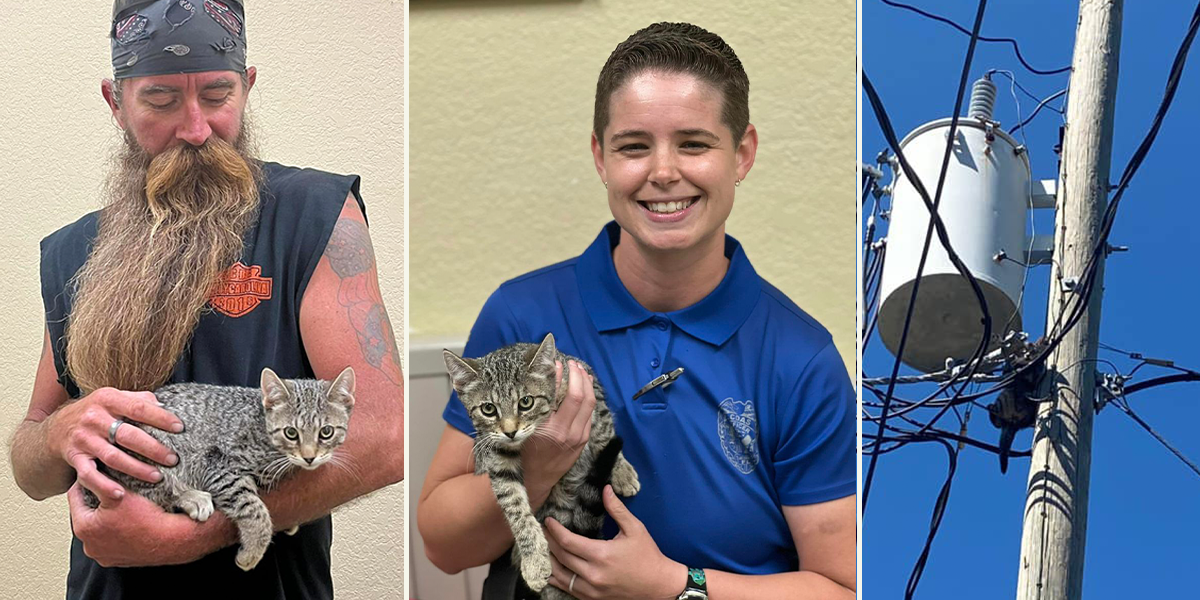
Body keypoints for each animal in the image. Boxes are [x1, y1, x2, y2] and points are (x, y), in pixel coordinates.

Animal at [83, 367, 355, 568]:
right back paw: (192, 498)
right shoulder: (217, 465)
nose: (310, 457)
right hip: (152, 450)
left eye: (326, 432)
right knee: (150, 489)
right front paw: (253, 549)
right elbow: (252, 506)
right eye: (291, 433)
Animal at [446, 331, 643, 597]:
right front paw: (533, 560)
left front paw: (622, 472)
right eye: (488, 409)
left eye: (526, 402)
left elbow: (603, 429)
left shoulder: (589, 383)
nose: (510, 432)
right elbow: (514, 506)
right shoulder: (496, 454)